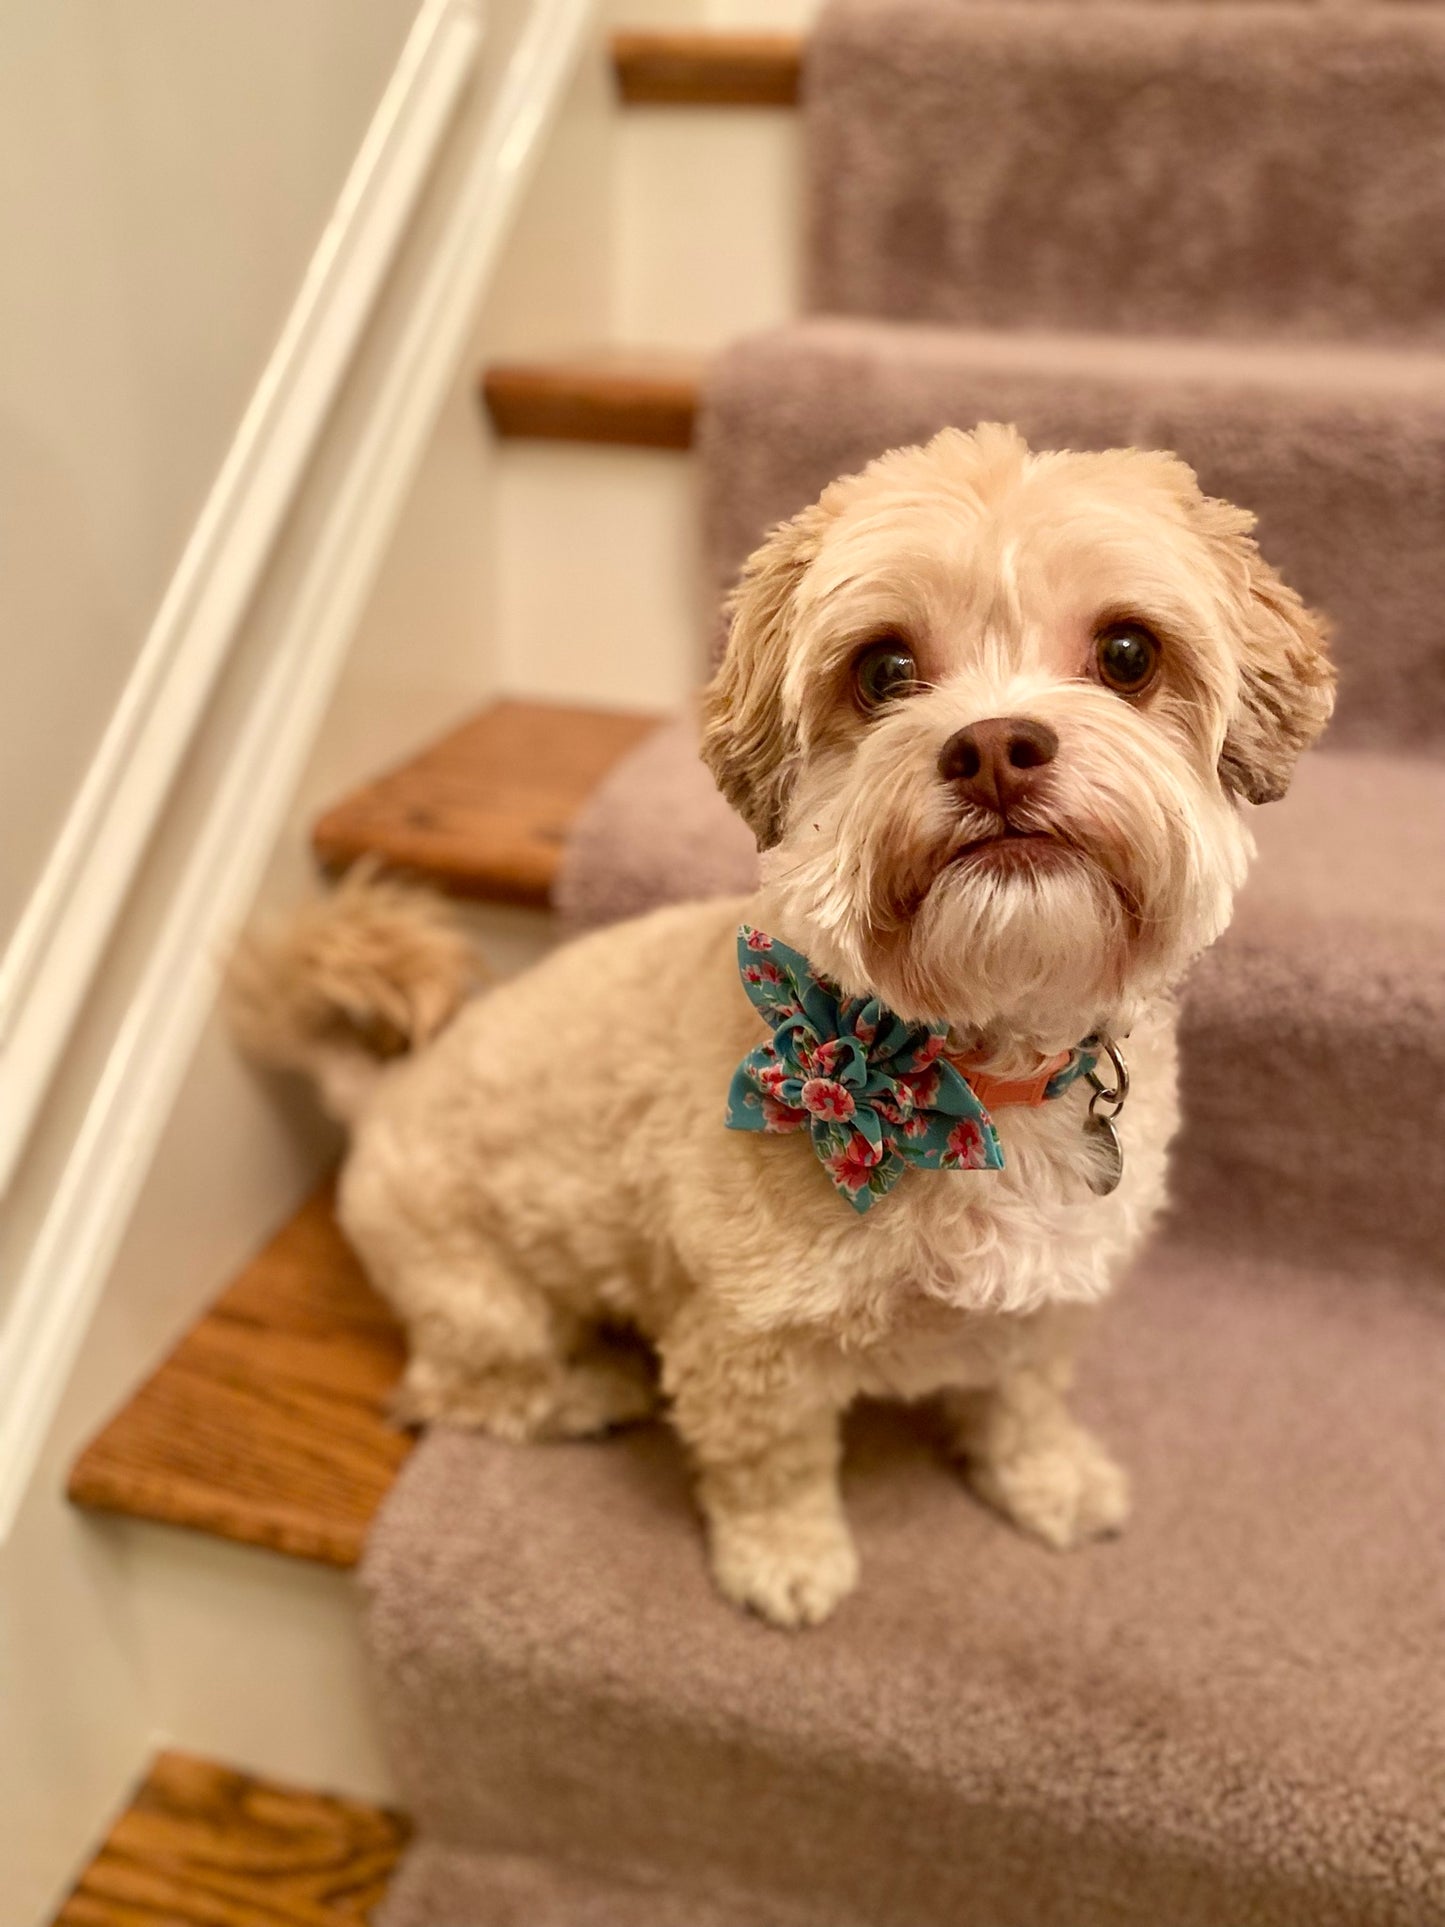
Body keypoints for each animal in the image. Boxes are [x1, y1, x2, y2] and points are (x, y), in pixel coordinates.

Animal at [229, 425, 1333, 1626]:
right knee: (458, 1387)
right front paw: (786, 1560)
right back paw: (587, 1389)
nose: (995, 745)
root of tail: (384, 1090)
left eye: (1128, 652)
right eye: (882, 670)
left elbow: (1023, 1397)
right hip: (481, 1297)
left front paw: (1049, 1478)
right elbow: (773, 1465)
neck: (974, 1077)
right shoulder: (746, 1341)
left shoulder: (1054, 1297)